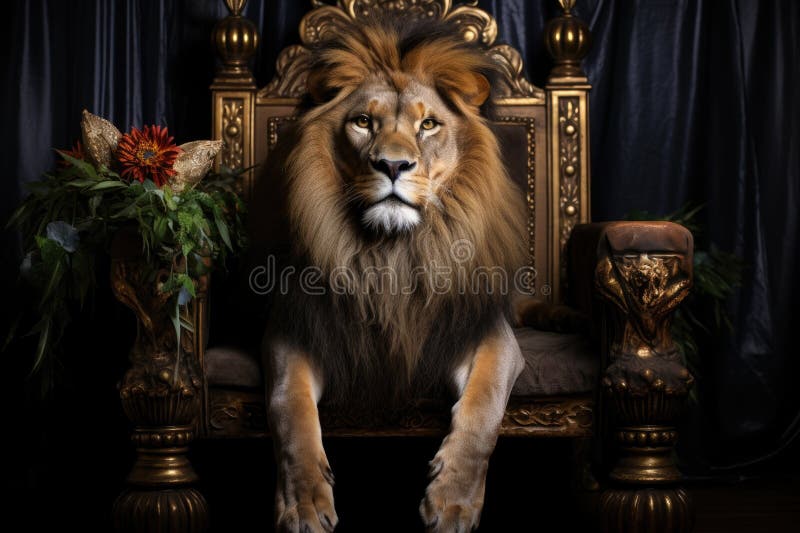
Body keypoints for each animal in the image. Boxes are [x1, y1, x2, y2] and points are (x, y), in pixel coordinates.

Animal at [263, 20, 546, 532]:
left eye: (428, 124)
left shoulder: (485, 337)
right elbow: (289, 407)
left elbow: (483, 405)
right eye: (362, 122)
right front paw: (305, 503)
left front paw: (452, 500)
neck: (392, 252)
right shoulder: (296, 332)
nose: (393, 165)